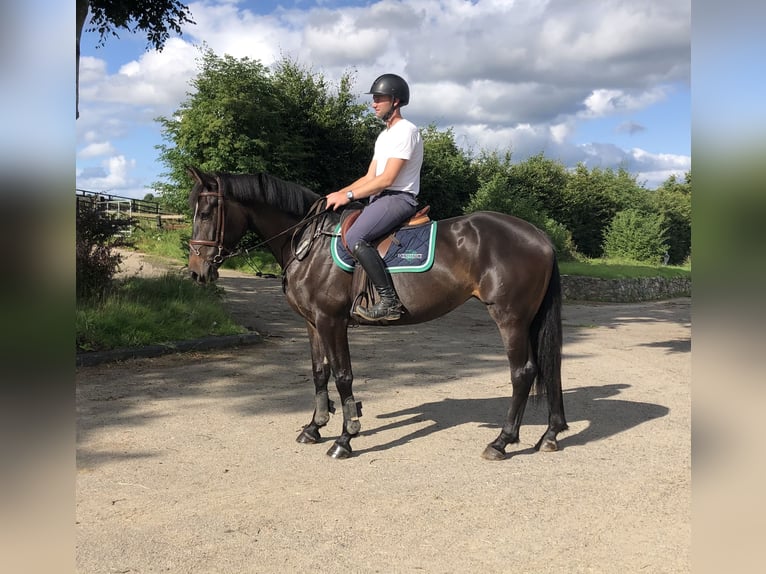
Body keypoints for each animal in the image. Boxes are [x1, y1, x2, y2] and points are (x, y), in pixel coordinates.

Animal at [188, 165, 568, 460]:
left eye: (205, 214)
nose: (196, 272)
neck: (309, 243)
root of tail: (539, 236)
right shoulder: (312, 323)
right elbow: (319, 372)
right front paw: (314, 427)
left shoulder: (331, 321)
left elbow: (343, 375)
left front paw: (345, 437)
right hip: (528, 319)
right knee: (549, 368)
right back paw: (550, 435)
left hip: (510, 318)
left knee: (523, 371)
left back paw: (502, 441)